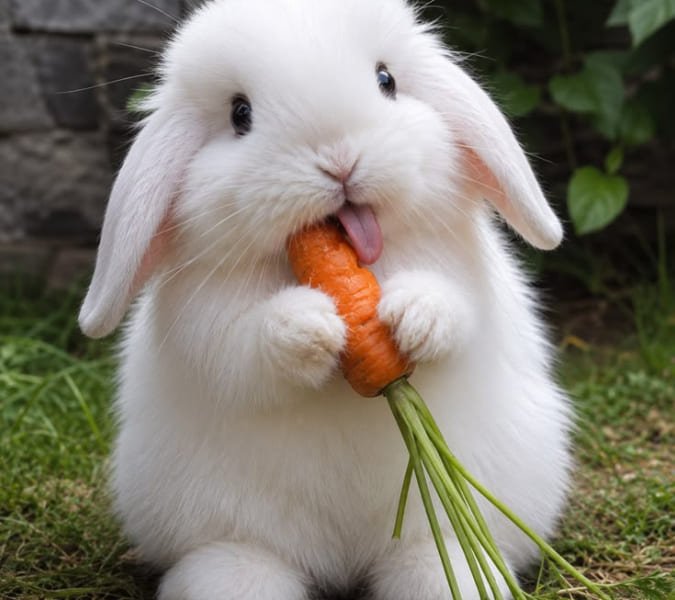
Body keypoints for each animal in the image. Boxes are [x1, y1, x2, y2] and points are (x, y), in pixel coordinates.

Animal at [79, 0, 573, 599]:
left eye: (386, 81)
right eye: (240, 114)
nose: (339, 159)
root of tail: (343, 564)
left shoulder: (466, 281)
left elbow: (455, 310)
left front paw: (411, 316)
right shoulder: (208, 325)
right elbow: (244, 350)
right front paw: (313, 326)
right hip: (230, 523)